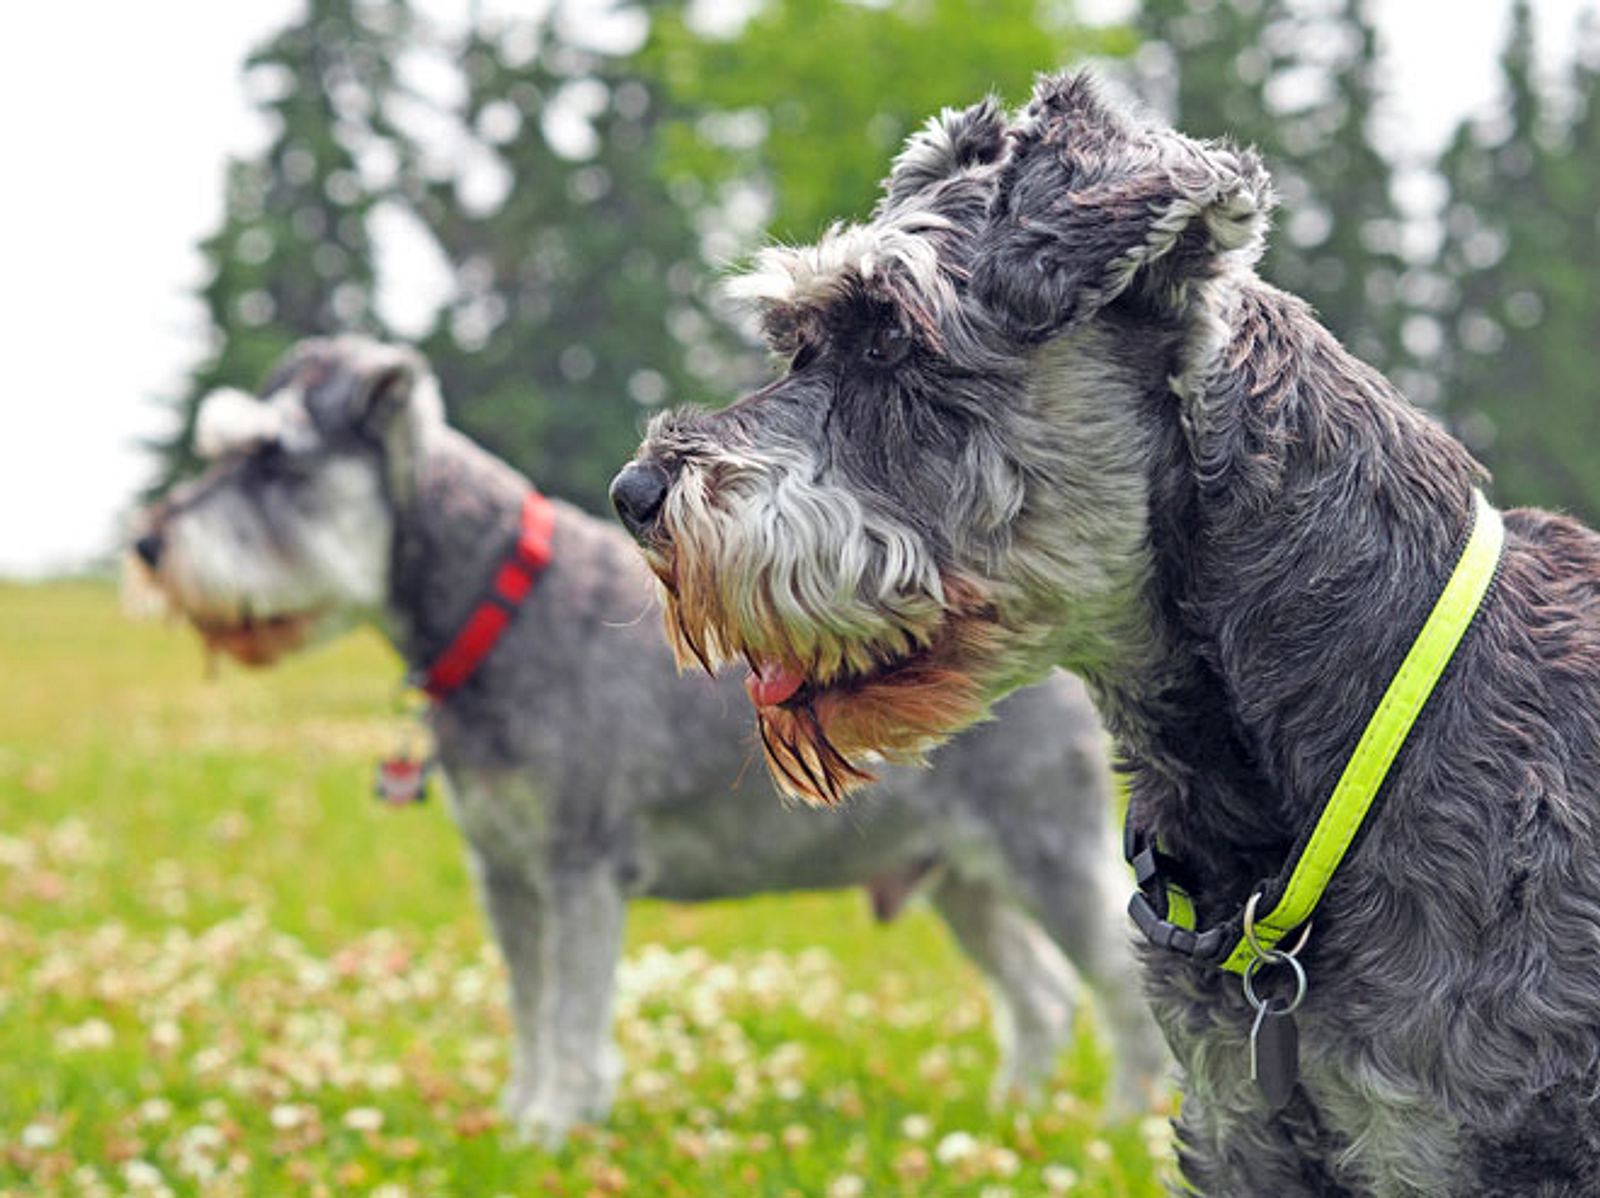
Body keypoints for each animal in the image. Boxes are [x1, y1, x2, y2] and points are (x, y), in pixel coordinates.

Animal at [131, 339, 1164, 1151]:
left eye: (273, 460)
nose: (148, 545)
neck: (493, 605)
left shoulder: (578, 867)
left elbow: (571, 1013)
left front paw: (554, 1127)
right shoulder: (507, 875)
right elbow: (530, 1007)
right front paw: (518, 1121)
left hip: (1044, 853)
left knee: (1117, 984)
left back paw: (1124, 1120)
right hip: (957, 881)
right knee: (1039, 996)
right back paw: (1011, 1114)